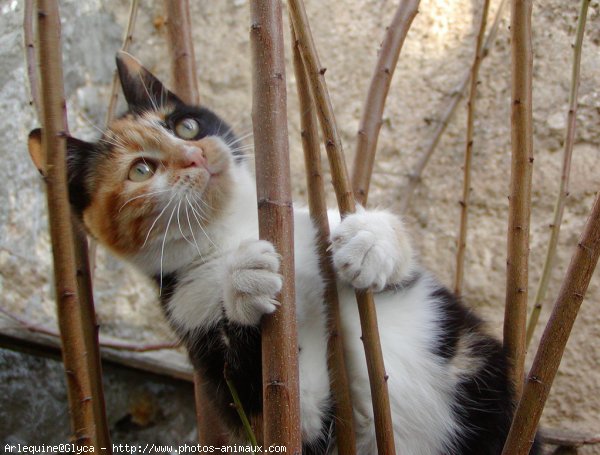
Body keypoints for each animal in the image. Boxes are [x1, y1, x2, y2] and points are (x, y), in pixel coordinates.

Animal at [29, 51, 540, 454]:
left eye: (186, 125)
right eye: (140, 170)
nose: (196, 155)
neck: (231, 230)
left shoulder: (315, 227)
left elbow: (389, 251)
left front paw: (370, 240)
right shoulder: (197, 328)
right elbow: (284, 406)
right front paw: (243, 282)